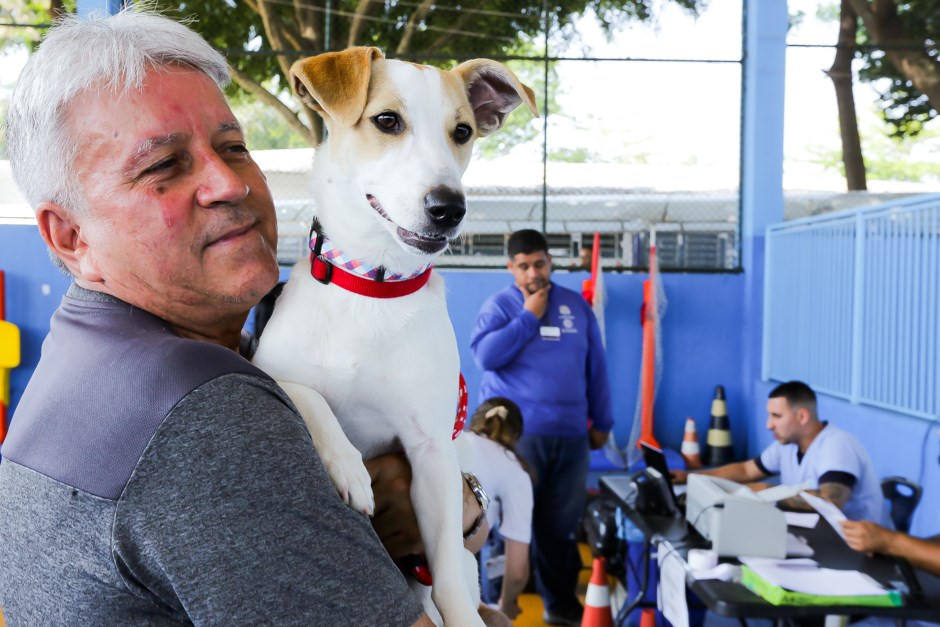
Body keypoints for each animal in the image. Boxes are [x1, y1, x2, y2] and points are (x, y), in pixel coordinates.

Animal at [252, 46, 536, 624]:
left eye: (462, 131)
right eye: (387, 121)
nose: (449, 207)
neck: (373, 286)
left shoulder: (430, 452)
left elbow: (448, 570)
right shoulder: (268, 369)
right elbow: (306, 393)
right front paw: (348, 467)